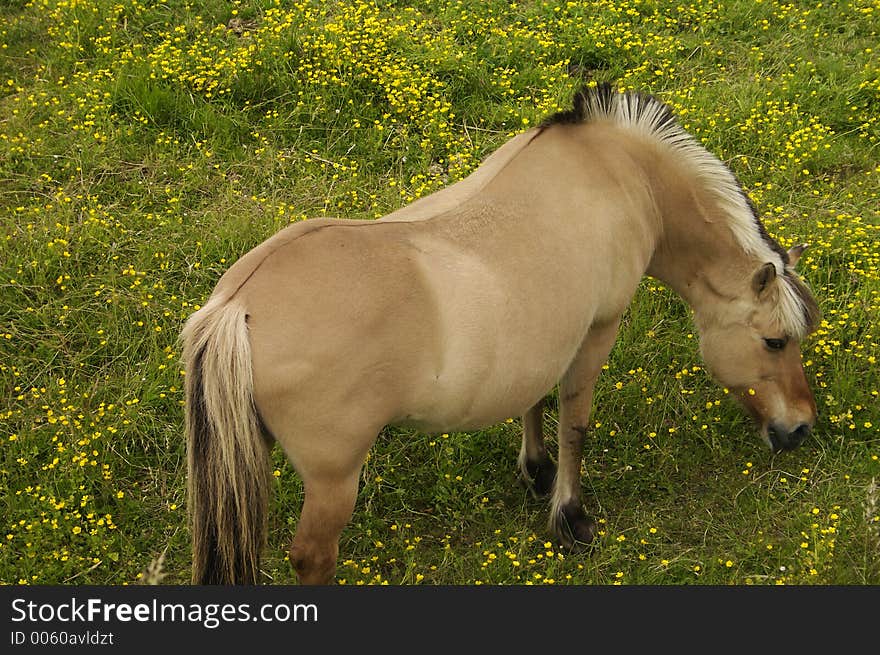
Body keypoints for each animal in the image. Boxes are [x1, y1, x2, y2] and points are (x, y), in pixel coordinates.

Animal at [182, 84, 820, 588]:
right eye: (775, 341)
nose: (800, 429)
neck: (618, 171)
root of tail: (237, 307)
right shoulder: (598, 329)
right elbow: (575, 424)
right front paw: (569, 515)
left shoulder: (544, 337)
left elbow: (534, 398)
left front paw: (536, 471)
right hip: (333, 480)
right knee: (313, 557)